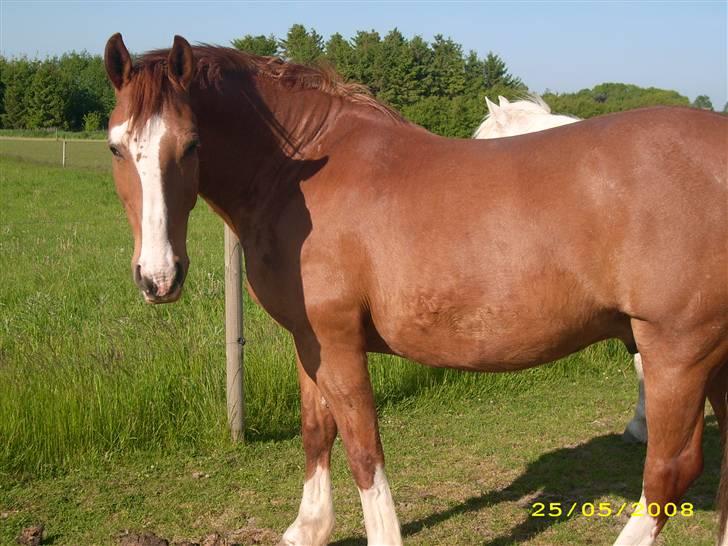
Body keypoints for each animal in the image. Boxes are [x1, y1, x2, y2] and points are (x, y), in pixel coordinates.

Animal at [104, 35, 728, 544]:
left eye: (190, 144)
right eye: (116, 147)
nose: (158, 277)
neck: (302, 173)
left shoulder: (337, 341)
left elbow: (362, 450)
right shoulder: (308, 340)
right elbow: (315, 432)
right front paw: (309, 528)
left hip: (678, 350)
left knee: (670, 471)